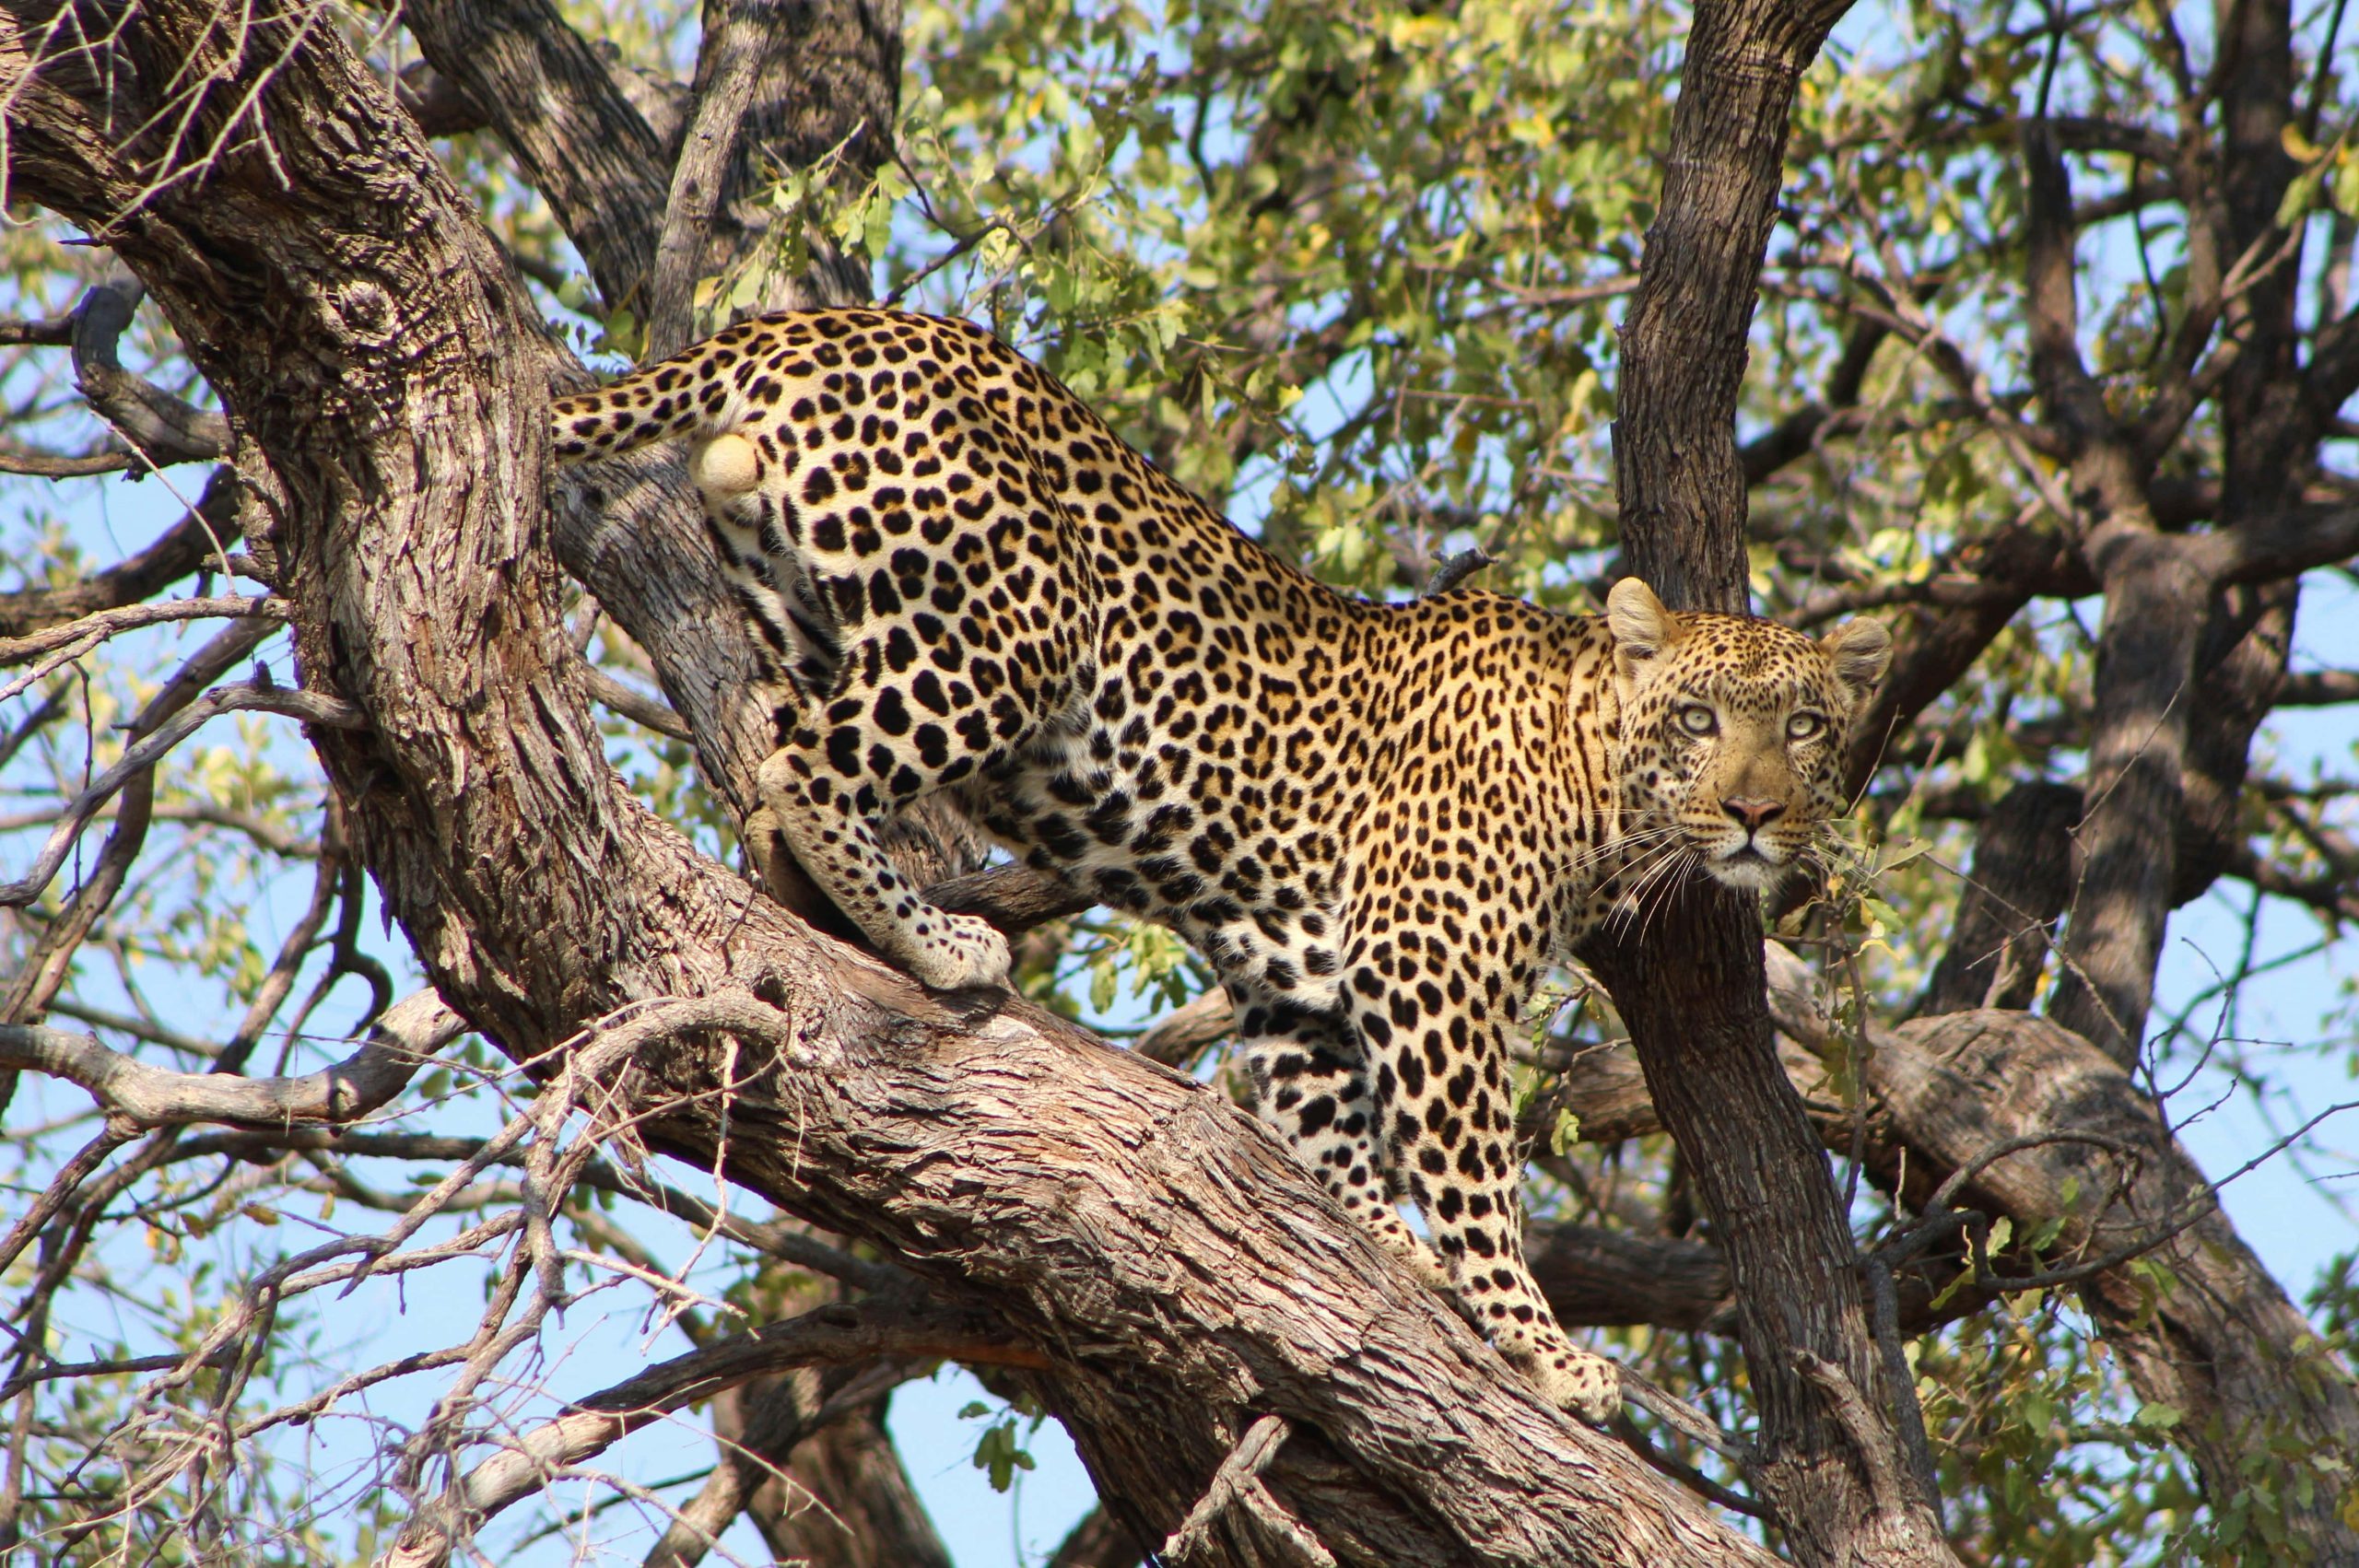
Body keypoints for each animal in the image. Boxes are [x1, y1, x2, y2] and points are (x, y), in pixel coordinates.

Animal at [551, 307, 1893, 1422]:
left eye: (1804, 727)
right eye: (1700, 721)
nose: (1759, 812)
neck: (1592, 765)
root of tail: (812, 320)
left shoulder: (1296, 981)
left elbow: (1329, 1126)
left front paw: (1389, 1244)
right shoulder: (1431, 967)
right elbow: (1471, 1171)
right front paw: (1543, 1348)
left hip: (806, 607)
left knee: (773, 758)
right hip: (1012, 633)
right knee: (811, 770)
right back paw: (941, 943)